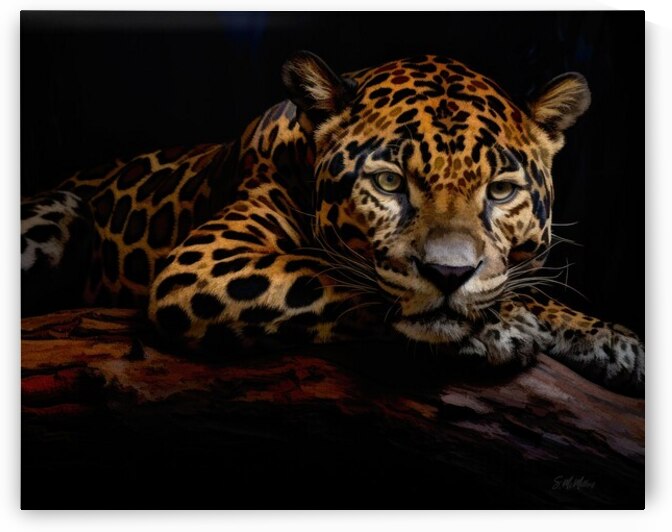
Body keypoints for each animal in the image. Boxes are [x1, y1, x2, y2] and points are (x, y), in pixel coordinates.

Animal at [21, 51, 644, 396]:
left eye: (500, 190)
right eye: (390, 183)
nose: (448, 275)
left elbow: (519, 285)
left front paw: (607, 337)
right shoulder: (202, 265)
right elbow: (337, 275)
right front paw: (496, 327)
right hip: (62, 209)